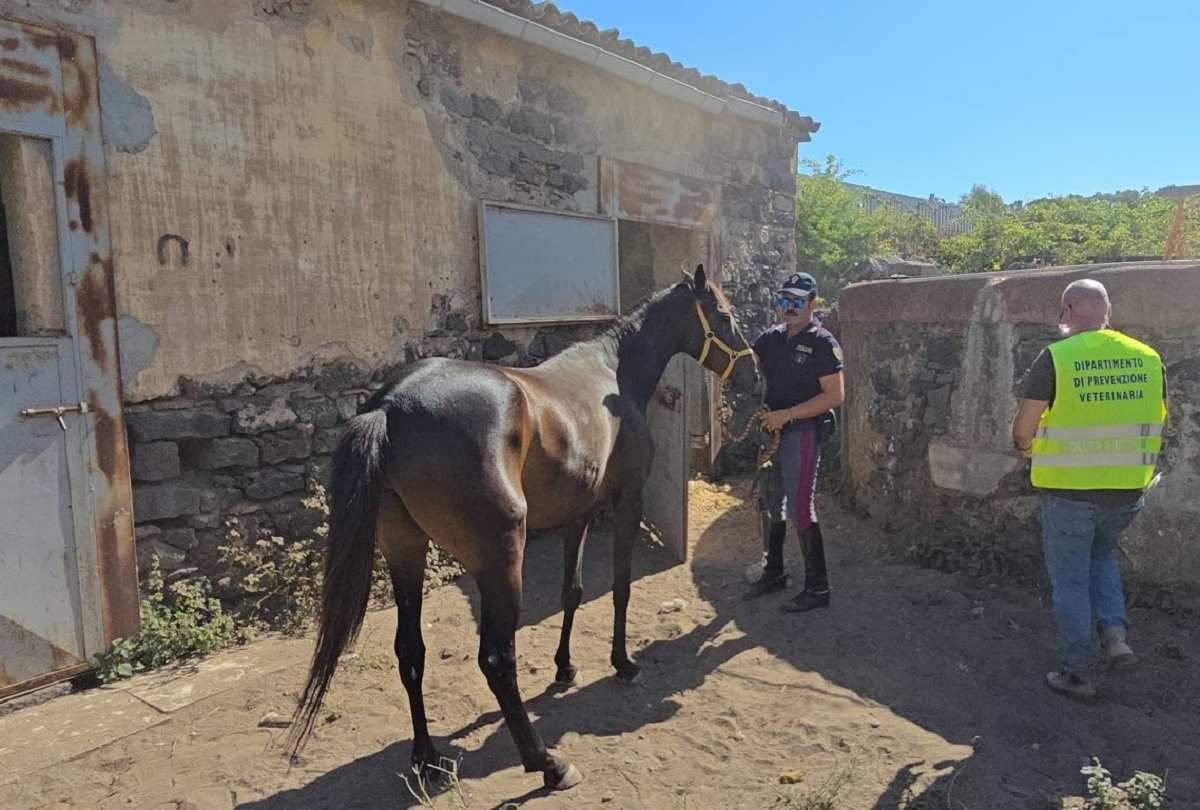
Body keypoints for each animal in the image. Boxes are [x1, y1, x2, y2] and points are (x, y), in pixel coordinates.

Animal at [288, 264, 760, 791]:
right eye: (725, 315)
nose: (755, 374)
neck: (611, 376)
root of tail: (391, 407)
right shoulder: (627, 502)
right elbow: (620, 588)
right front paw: (622, 663)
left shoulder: (579, 512)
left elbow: (572, 592)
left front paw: (565, 667)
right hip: (501, 559)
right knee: (497, 660)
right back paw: (546, 763)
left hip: (405, 551)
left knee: (410, 651)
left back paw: (427, 757)